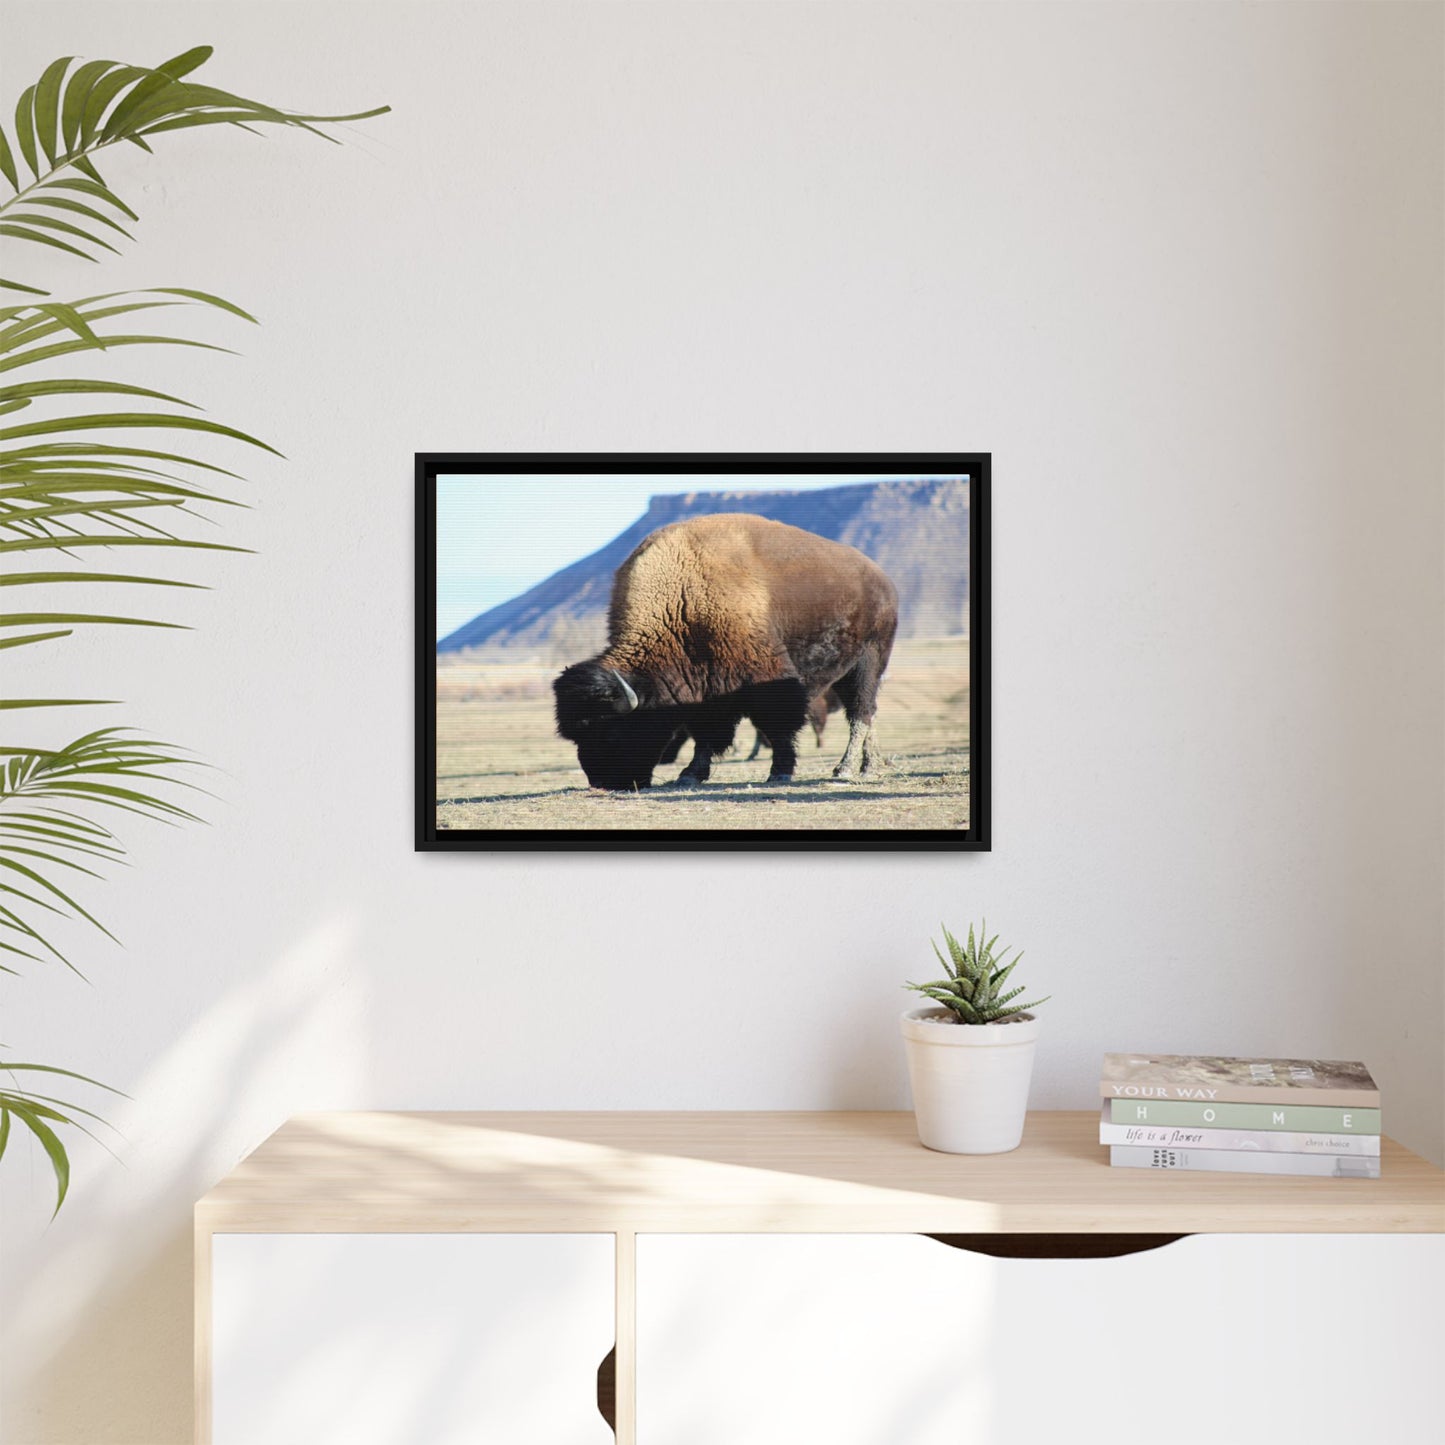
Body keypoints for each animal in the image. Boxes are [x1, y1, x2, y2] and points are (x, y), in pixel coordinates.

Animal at [553, 513, 898, 790]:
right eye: (577, 736)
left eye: (610, 731)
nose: (603, 782)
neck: (681, 600)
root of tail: (882, 579)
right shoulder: (706, 688)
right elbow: (706, 734)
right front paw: (690, 775)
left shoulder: (766, 678)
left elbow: (778, 725)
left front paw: (780, 772)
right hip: (846, 670)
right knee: (866, 713)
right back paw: (870, 765)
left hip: (869, 661)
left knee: (860, 712)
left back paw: (848, 769)